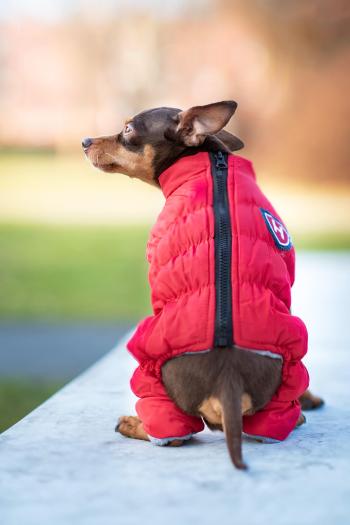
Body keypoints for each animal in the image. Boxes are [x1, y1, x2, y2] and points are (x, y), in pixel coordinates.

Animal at [83, 100, 324, 468]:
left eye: (128, 129)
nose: (84, 141)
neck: (213, 165)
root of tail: (228, 382)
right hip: (291, 363)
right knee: (283, 419)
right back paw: (300, 409)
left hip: (149, 360)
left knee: (173, 434)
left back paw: (134, 423)